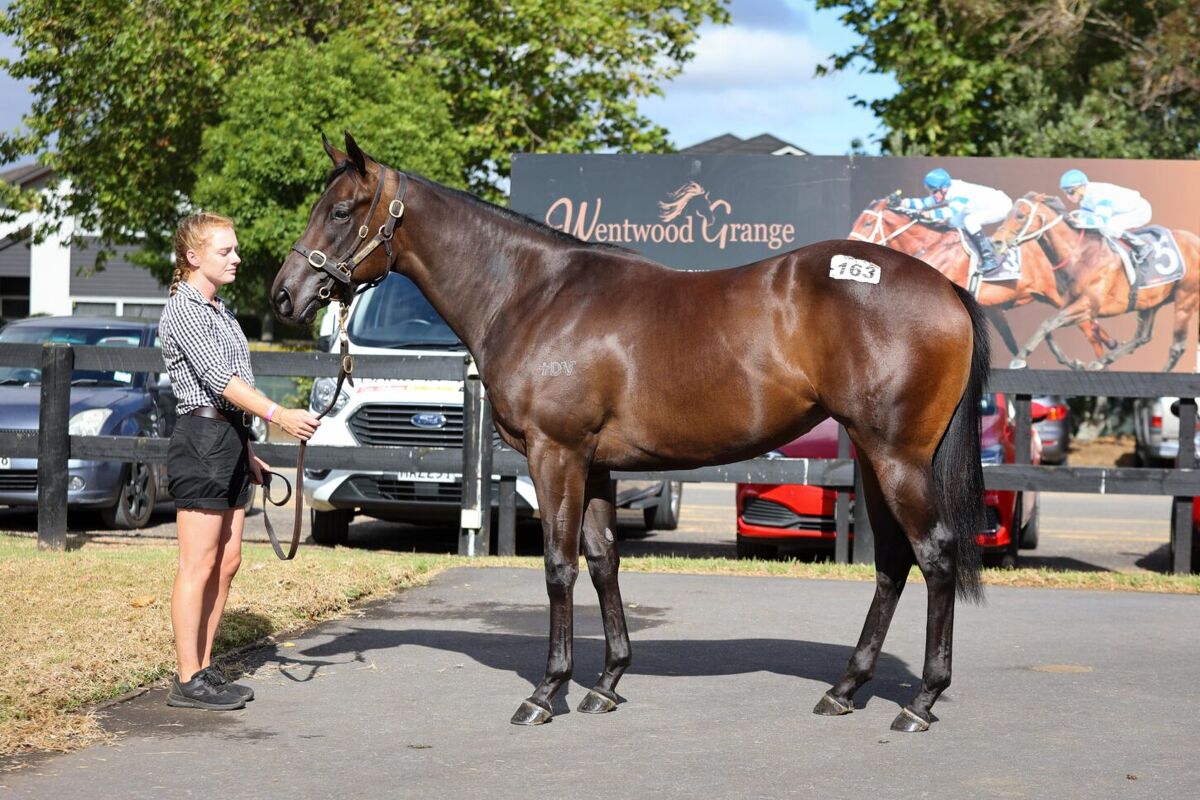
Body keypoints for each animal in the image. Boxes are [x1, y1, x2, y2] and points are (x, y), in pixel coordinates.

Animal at [272, 133, 992, 733]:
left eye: (342, 211)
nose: (284, 296)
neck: (534, 295)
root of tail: (945, 289)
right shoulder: (594, 463)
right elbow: (603, 560)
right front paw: (607, 682)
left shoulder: (554, 453)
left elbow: (559, 565)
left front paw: (548, 691)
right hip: (874, 456)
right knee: (894, 561)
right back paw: (845, 689)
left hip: (897, 457)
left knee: (934, 554)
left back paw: (921, 702)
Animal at [991, 192, 1200, 371]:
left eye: (1020, 215)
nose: (996, 242)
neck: (1080, 255)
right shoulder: (1069, 303)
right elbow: (1049, 327)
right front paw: (1070, 361)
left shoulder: (1089, 305)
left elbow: (1049, 322)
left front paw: (1019, 358)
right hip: (1151, 300)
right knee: (1143, 337)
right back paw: (1102, 361)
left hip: (1186, 297)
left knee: (1177, 346)